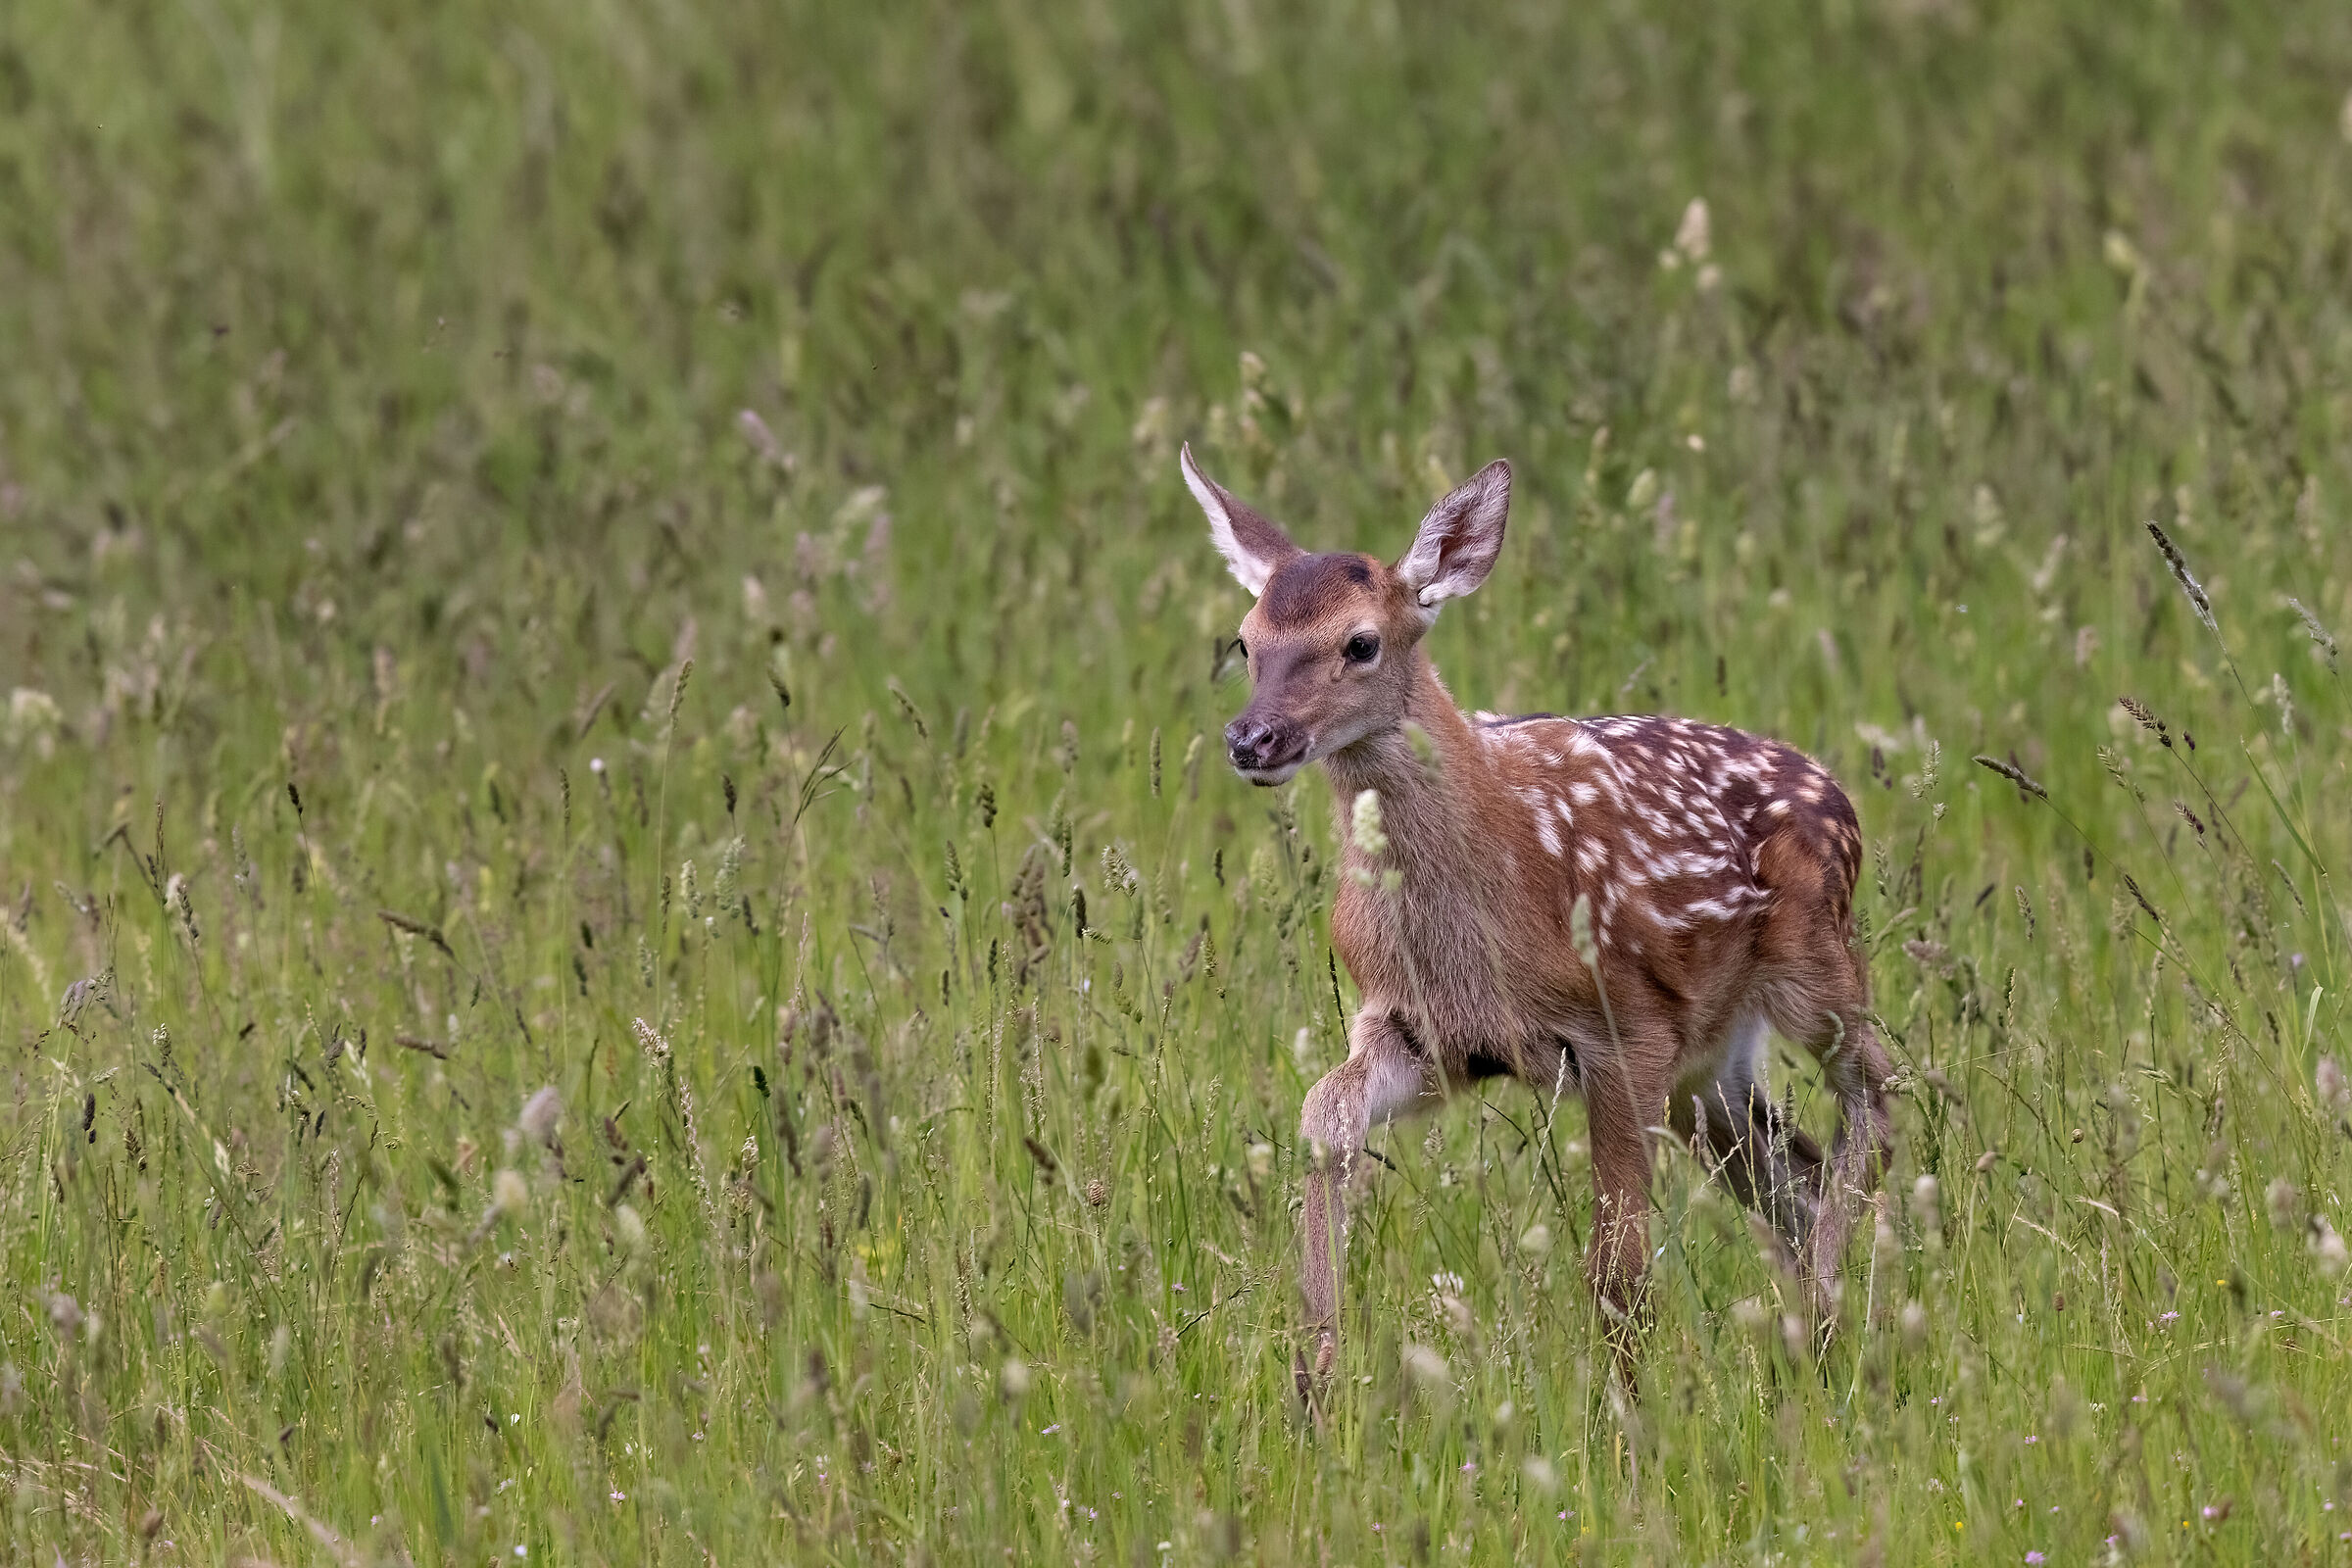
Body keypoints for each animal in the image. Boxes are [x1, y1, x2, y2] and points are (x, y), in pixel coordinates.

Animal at [1179, 444, 1895, 1384]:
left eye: (1360, 643)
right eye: (1246, 639)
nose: (1252, 739)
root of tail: (1837, 790)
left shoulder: (1625, 1027)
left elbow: (1618, 1268)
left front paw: (1627, 1410)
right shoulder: (1423, 1030)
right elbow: (1322, 1117)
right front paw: (1318, 1361)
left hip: (1816, 967)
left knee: (1879, 1099)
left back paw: (1822, 1309)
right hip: (1711, 1059)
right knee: (1794, 1169)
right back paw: (1821, 1333)